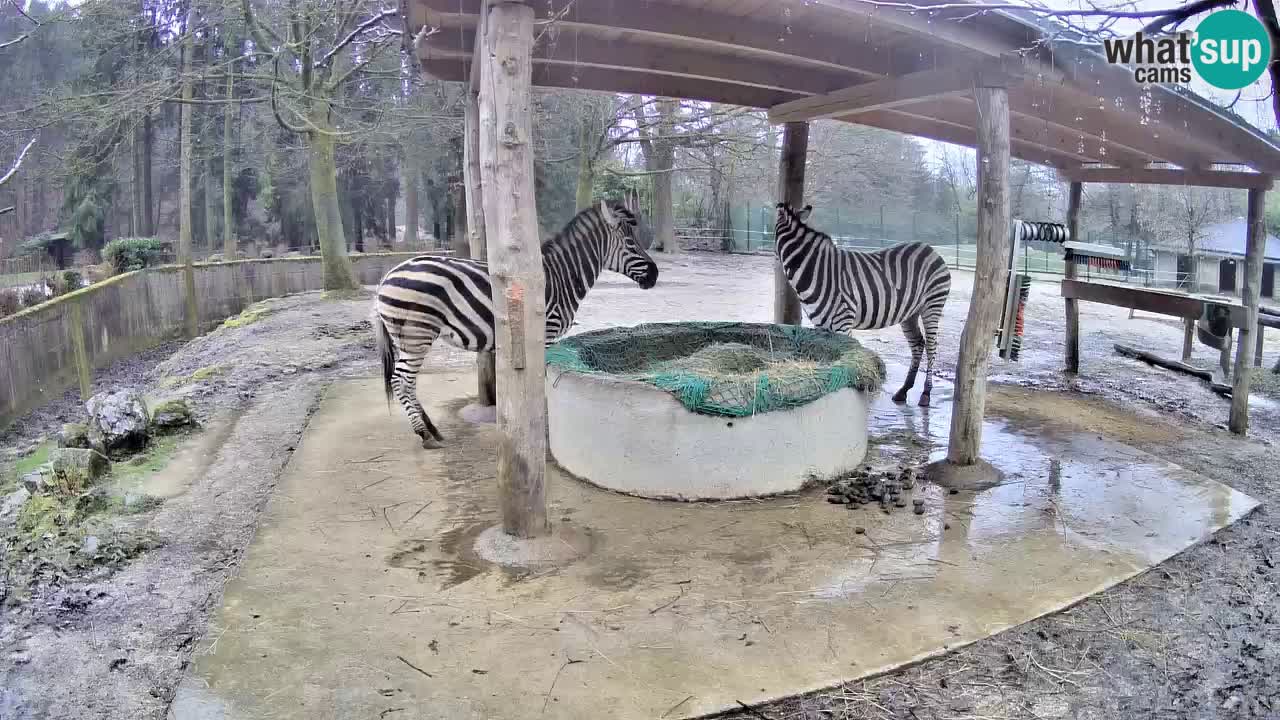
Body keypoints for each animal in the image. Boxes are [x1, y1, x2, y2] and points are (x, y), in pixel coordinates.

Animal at [368, 197, 650, 443]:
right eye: (631, 243)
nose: (655, 275)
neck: (562, 277)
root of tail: (386, 277)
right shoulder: (546, 333)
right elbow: (540, 382)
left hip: (409, 337)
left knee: (407, 381)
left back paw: (431, 429)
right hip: (417, 333)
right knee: (401, 380)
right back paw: (424, 433)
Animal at [768, 203, 952, 404]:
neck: (814, 270)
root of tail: (929, 248)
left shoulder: (842, 321)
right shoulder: (820, 325)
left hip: (932, 305)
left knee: (932, 347)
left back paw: (926, 394)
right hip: (910, 313)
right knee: (918, 344)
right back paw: (903, 390)